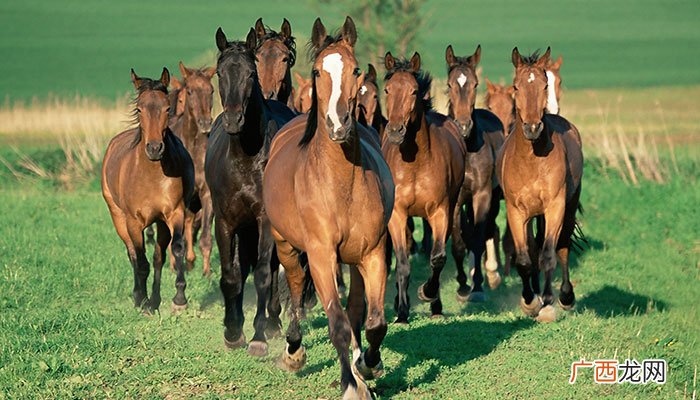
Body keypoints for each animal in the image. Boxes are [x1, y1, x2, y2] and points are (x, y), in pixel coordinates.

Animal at [101, 68, 194, 313]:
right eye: (139, 109)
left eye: (167, 108)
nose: (154, 148)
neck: (152, 175)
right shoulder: (134, 222)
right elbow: (140, 259)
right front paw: (142, 302)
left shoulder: (174, 214)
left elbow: (175, 249)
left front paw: (178, 299)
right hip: (118, 217)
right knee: (133, 254)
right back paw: (139, 296)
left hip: (161, 223)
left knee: (158, 256)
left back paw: (154, 299)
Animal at [205, 27, 296, 357]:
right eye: (219, 73)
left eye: (250, 73)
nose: (234, 120)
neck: (245, 158)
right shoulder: (225, 221)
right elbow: (230, 274)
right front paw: (233, 332)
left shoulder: (264, 221)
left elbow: (263, 274)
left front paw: (258, 337)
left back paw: (272, 323)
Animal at [263, 17, 394, 399]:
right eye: (318, 71)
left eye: (355, 70)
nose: (339, 125)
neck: (340, 185)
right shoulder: (321, 255)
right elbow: (336, 323)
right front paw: (351, 385)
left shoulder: (373, 253)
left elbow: (374, 322)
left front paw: (368, 365)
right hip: (286, 246)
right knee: (294, 288)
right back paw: (294, 350)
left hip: (353, 260)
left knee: (355, 309)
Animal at [382, 51, 466, 322]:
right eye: (387, 89)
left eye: (413, 91)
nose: (396, 130)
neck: (415, 163)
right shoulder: (397, 214)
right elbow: (402, 262)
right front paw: (401, 311)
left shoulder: (440, 211)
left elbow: (437, 258)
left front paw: (427, 294)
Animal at [496, 48, 583, 322]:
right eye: (516, 86)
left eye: (545, 85)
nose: (533, 128)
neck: (531, 159)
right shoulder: (516, 211)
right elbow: (525, 258)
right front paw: (529, 301)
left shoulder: (555, 207)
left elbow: (548, 255)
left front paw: (547, 304)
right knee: (534, 246)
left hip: (568, 207)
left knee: (562, 246)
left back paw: (563, 296)